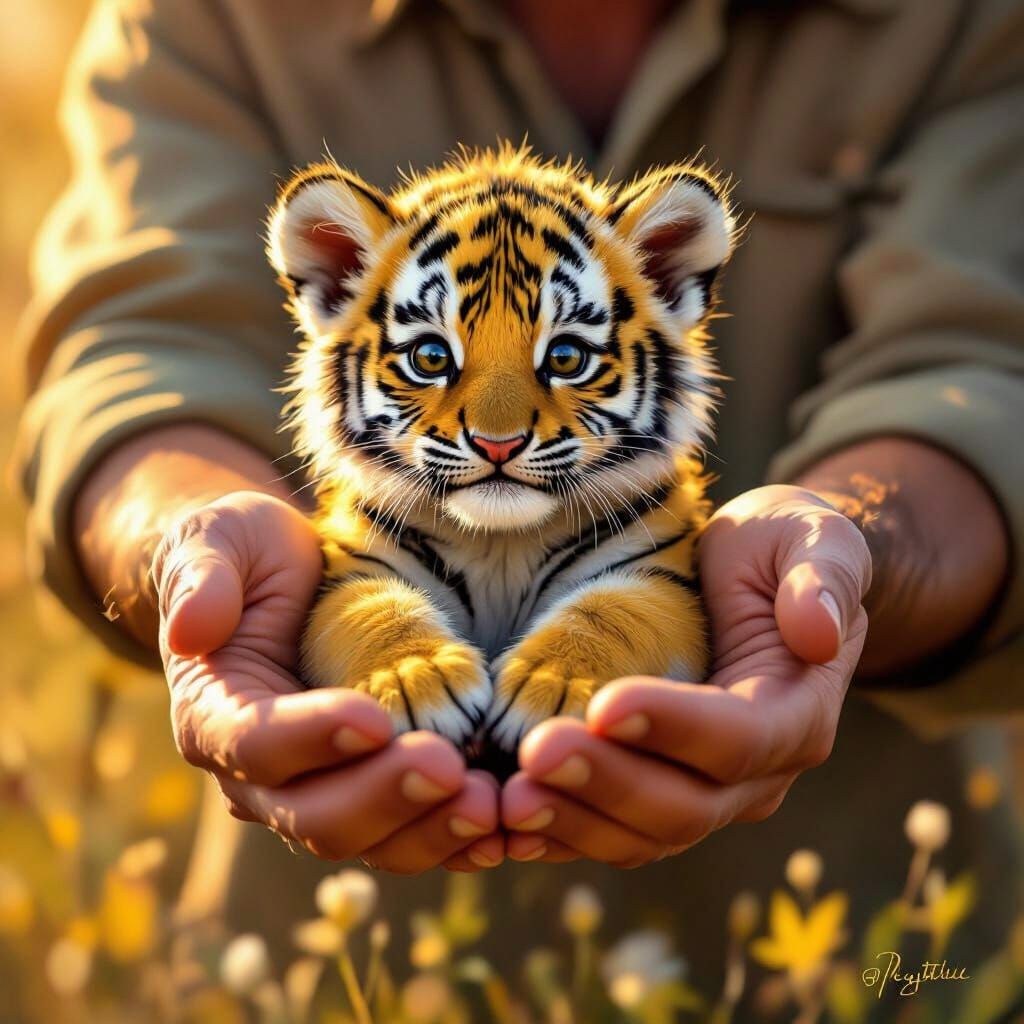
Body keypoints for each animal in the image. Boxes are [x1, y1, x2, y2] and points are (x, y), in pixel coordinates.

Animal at [266, 144, 736, 757]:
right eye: (431, 358)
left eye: (565, 358)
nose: (498, 444)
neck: (500, 544)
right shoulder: (352, 569)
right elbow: (375, 609)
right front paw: (414, 682)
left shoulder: (659, 572)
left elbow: (612, 612)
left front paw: (554, 687)